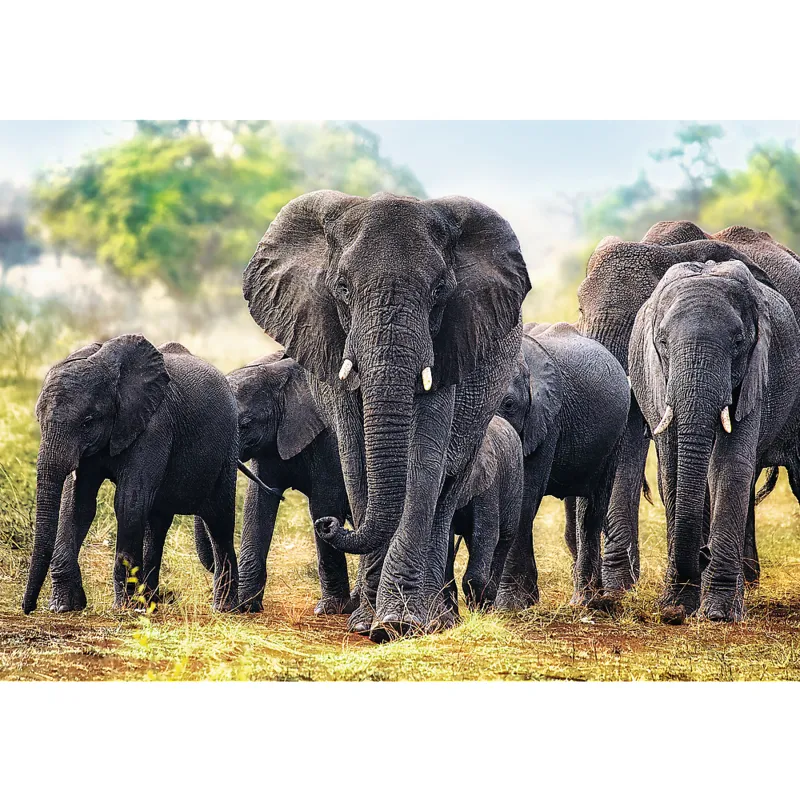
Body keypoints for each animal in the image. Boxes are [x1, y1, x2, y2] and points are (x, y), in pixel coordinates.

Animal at [22, 337, 241, 614]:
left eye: (87, 422)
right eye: (38, 419)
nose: (27, 608)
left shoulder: (154, 427)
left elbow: (128, 502)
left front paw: (123, 608)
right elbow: (78, 505)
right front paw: (64, 607)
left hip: (228, 450)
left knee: (219, 520)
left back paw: (225, 608)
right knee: (157, 523)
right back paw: (151, 603)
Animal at [194, 350, 357, 615]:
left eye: (245, 424)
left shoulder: (331, 440)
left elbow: (324, 505)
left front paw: (329, 609)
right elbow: (258, 503)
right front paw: (246, 605)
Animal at [450, 415, 524, 611]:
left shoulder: (489, 482)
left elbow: (487, 533)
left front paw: (478, 607)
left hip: (515, 484)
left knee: (504, 538)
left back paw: (488, 603)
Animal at [494, 322, 631, 608]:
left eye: (509, 404)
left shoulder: (547, 420)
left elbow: (524, 498)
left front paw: (510, 606)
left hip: (615, 438)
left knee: (590, 513)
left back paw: (585, 602)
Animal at [629, 260, 800, 623]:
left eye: (738, 342)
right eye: (662, 342)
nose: (703, 553)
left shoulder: (756, 375)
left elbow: (728, 467)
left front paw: (719, 614)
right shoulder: (656, 382)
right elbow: (673, 471)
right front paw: (676, 608)